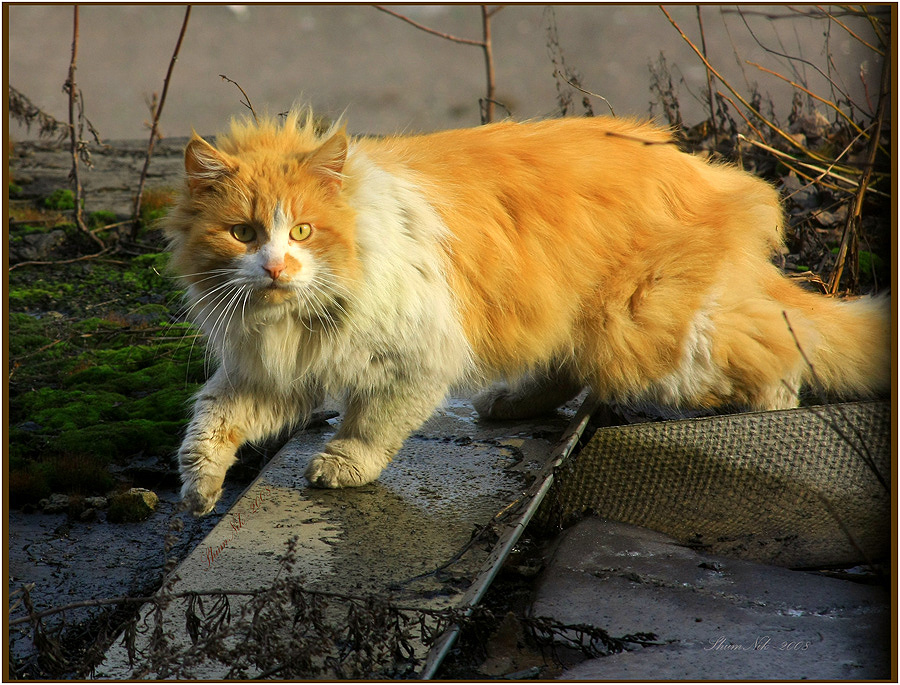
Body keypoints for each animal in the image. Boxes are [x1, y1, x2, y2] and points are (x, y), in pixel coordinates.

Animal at [165, 109, 888, 512]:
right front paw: (199, 493)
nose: (276, 268)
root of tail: (704, 169)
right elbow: (210, 427)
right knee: (570, 368)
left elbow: (373, 424)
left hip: (641, 326)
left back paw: (770, 406)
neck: (295, 317)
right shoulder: (270, 370)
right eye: (243, 234)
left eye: (303, 231)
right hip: (582, 318)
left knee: (771, 345)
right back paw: (510, 403)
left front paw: (342, 464)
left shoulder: (415, 359)